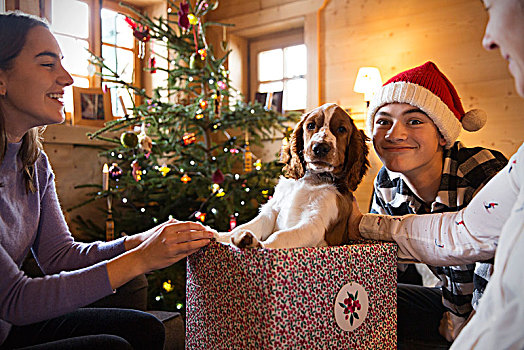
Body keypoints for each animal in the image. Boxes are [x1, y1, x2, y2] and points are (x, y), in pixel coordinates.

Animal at [215, 104, 370, 249]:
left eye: (342, 129)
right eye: (311, 125)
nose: (320, 147)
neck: (312, 179)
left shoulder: (316, 223)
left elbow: (279, 236)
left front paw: (258, 244)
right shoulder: (272, 210)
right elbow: (245, 225)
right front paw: (218, 235)